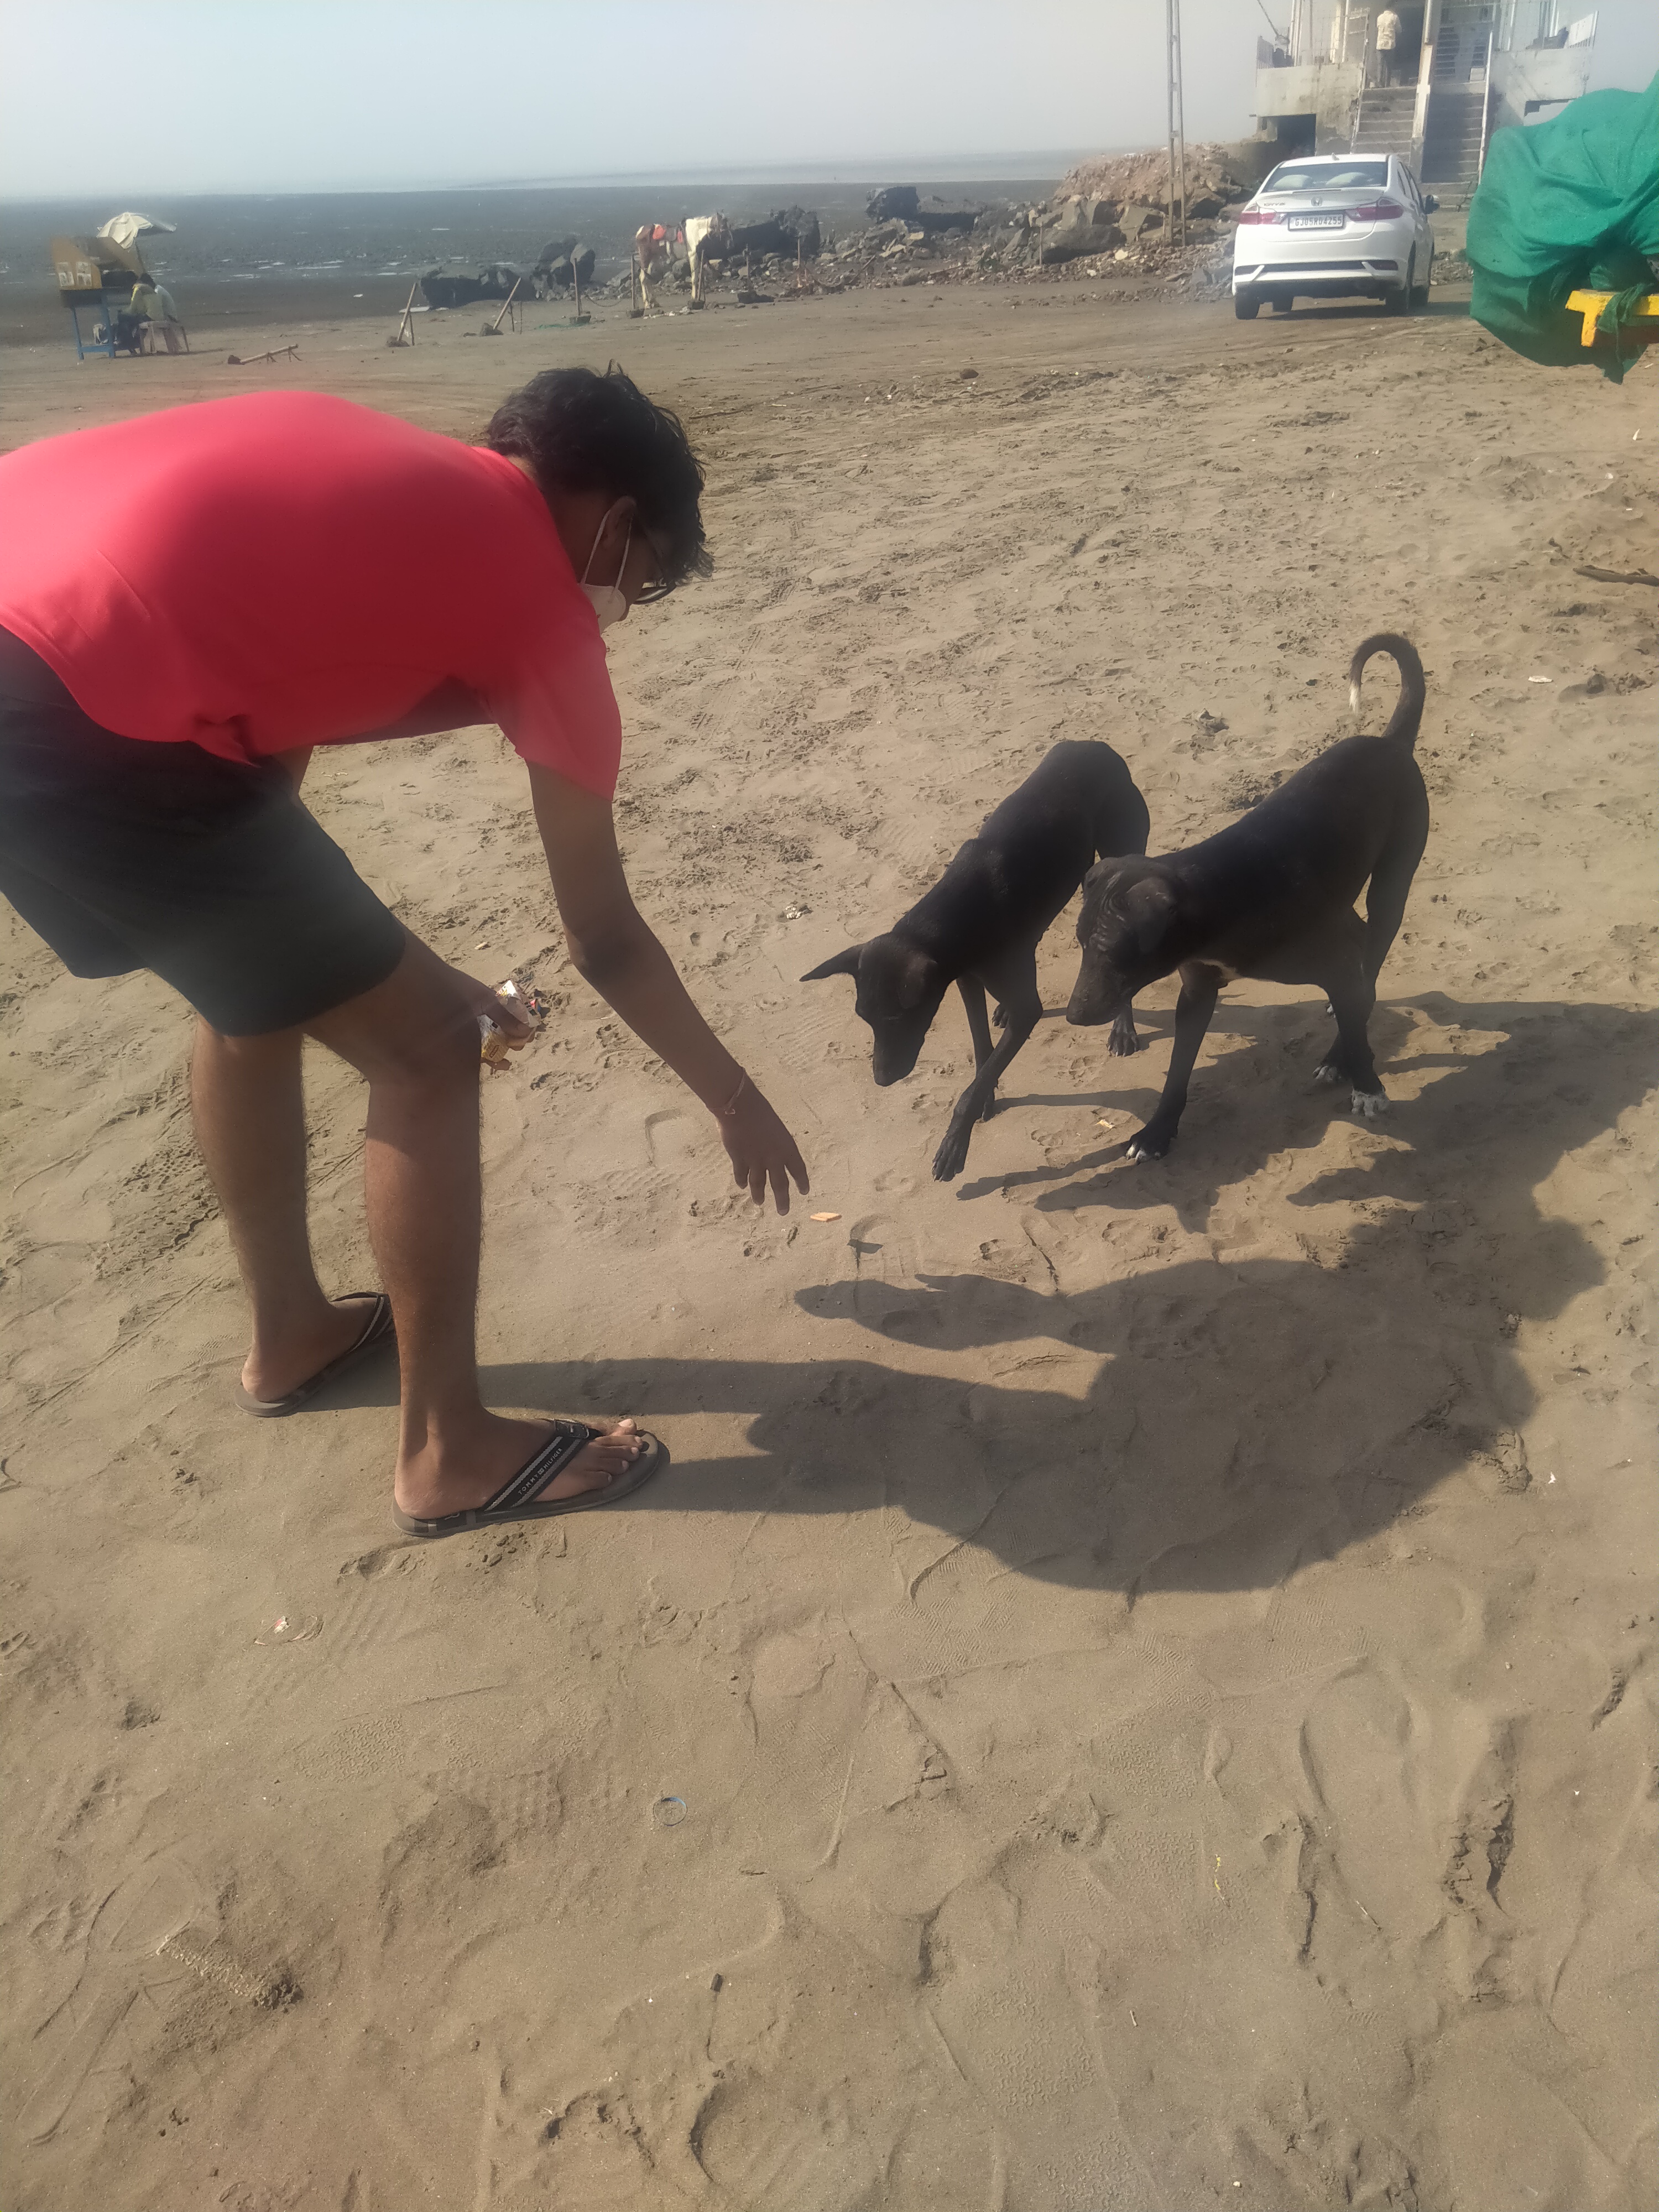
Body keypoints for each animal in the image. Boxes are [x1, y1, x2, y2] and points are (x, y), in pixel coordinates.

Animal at [803, 739, 1151, 1181]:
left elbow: (988, 1064)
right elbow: (983, 1049)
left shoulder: (1025, 1009)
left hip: (1122, 849)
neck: (955, 913)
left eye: (896, 1020)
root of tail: (1096, 746)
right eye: (864, 1018)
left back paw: (1123, 1026)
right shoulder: (966, 978)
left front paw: (956, 1143)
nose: (881, 1080)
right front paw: (985, 1094)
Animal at [1065, 633, 1429, 1161]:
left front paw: (1367, 1083)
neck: (1222, 897)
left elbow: (1355, 1009)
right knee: (1360, 952)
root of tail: (1391, 743)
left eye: (1114, 950)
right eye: (1080, 944)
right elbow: (1178, 1073)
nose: (1073, 1016)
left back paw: (1342, 1054)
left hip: (1393, 881)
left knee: (1372, 957)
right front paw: (1156, 1132)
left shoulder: (1333, 961)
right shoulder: (1196, 993)